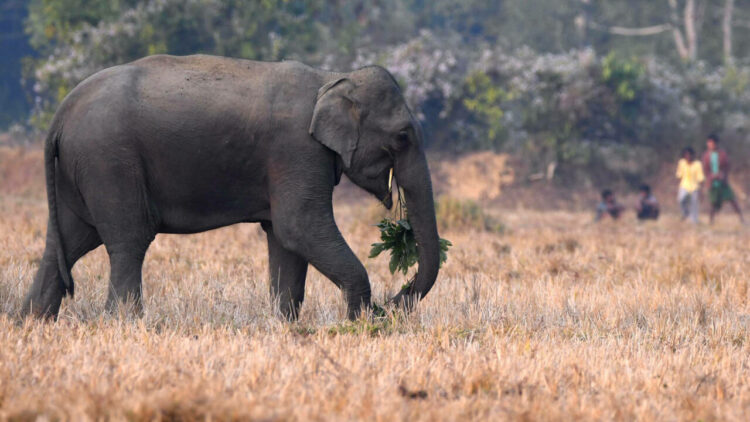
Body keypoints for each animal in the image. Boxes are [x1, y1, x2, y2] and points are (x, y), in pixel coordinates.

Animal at [20, 54, 444, 322]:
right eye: (403, 136)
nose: (394, 302)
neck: (331, 78)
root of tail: (62, 111)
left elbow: (285, 239)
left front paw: (286, 325)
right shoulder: (296, 150)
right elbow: (299, 227)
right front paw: (364, 323)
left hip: (81, 168)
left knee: (67, 242)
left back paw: (32, 322)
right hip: (109, 162)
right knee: (128, 240)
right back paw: (125, 322)